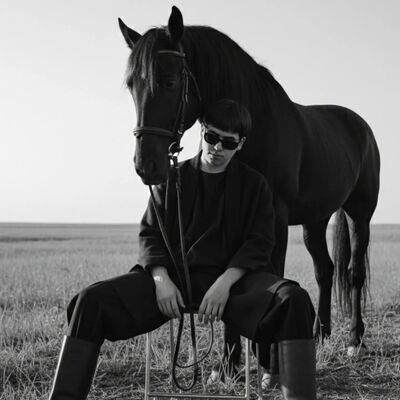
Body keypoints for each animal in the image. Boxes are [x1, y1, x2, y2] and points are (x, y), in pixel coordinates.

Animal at [118, 5, 380, 375]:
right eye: (131, 85)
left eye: (169, 82)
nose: (146, 166)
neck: (256, 127)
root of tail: (360, 125)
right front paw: (228, 363)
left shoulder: (273, 218)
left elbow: (269, 274)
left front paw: (264, 355)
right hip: (315, 220)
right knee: (325, 271)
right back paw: (320, 335)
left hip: (360, 214)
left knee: (354, 273)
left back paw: (355, 340)